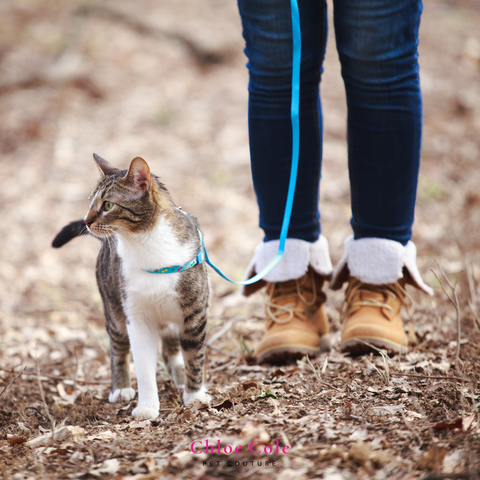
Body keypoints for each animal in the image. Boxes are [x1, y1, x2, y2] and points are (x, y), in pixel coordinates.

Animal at [51, 155, 211, 420]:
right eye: (91, 202)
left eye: (107, 205)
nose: (85, 221)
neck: (148, 245)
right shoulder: (136, 318)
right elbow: (143, 365)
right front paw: (146, 407)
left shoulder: (195, 313)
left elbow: (194, 356)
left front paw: (195, 395)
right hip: (113, 307)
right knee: (117, 347)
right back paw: (120, 388)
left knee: (171, 348)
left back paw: (179, 375)